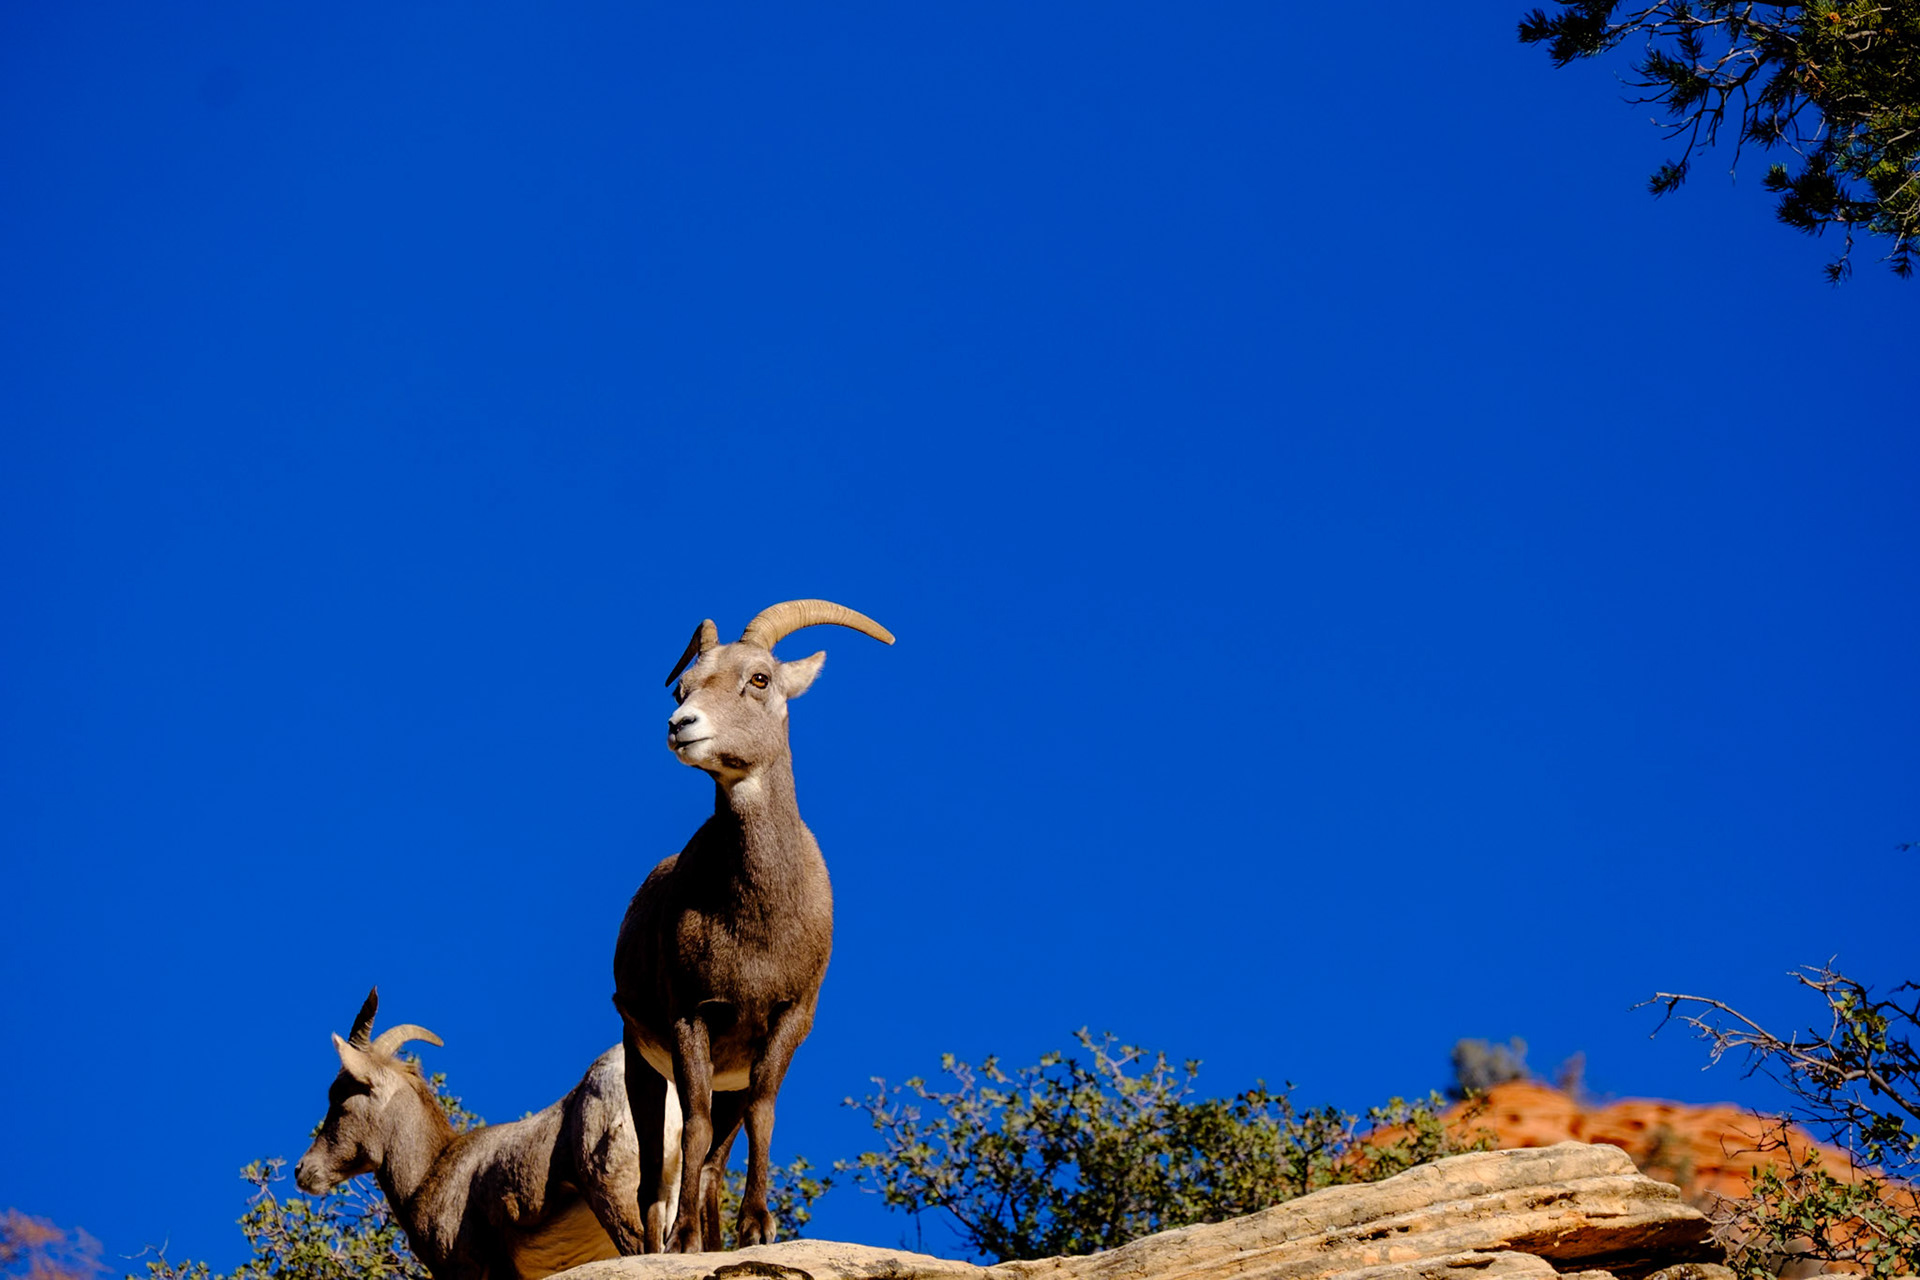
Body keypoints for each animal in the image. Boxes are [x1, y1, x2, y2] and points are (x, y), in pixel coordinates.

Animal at [612, 598, 893, 1253]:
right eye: (684, 686)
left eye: (759, 679)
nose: (681, 725)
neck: (757, 929)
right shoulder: (691, 1019)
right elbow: (692, 1124)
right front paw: (686, 1241)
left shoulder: (785, 1024)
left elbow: (764, 1114)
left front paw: (758, 1229)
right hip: (642, 1066)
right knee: (653, 1184)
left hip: (728, 1082)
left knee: (715, 1164)